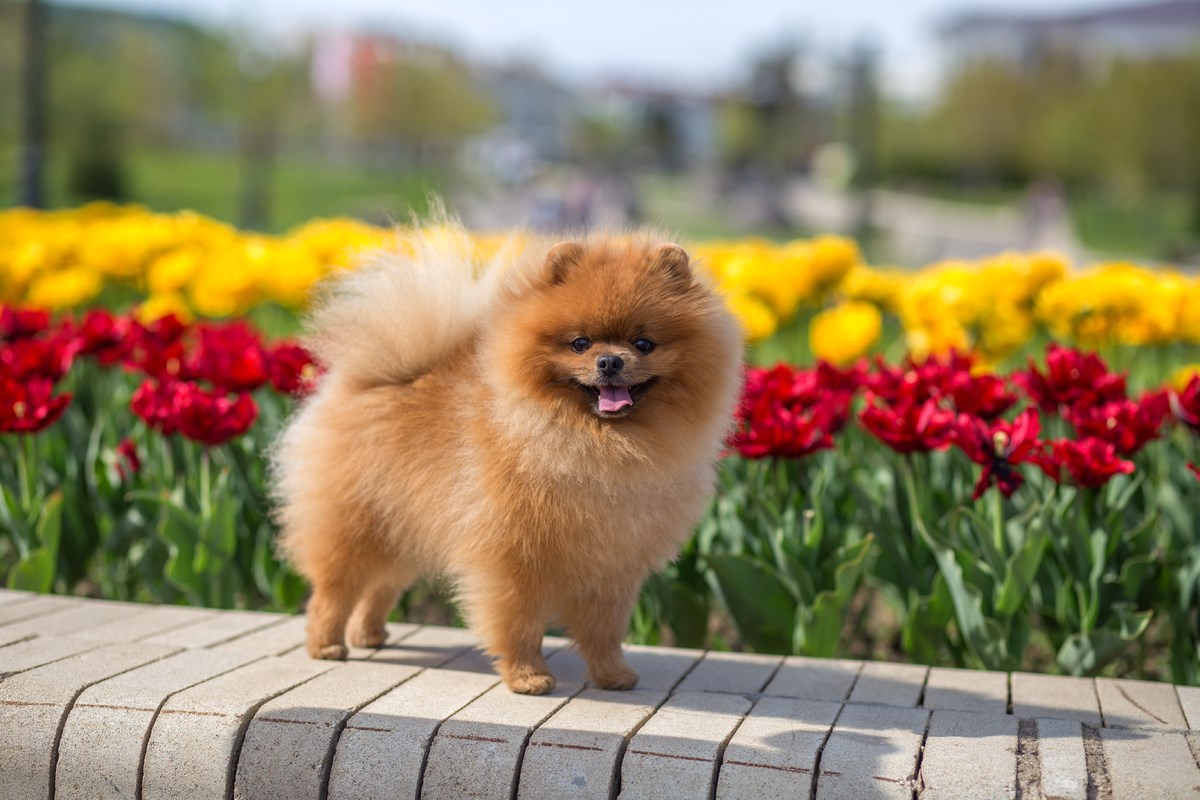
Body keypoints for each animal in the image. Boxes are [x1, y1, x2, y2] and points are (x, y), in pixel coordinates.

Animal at [274, 220, 739, 695]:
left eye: (644, 343)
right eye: (580, 343)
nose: (610, 360)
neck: (596, 445)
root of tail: (369, 380)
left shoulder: (613, 567)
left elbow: (604, 631)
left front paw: (613, 675)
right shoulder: (513, 558)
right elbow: (519, 623)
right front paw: (528, 676)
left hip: (400, 527)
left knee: (381, 587)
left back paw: (369, 634)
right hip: (356, 524)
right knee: (334, 590)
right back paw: (327, 645)